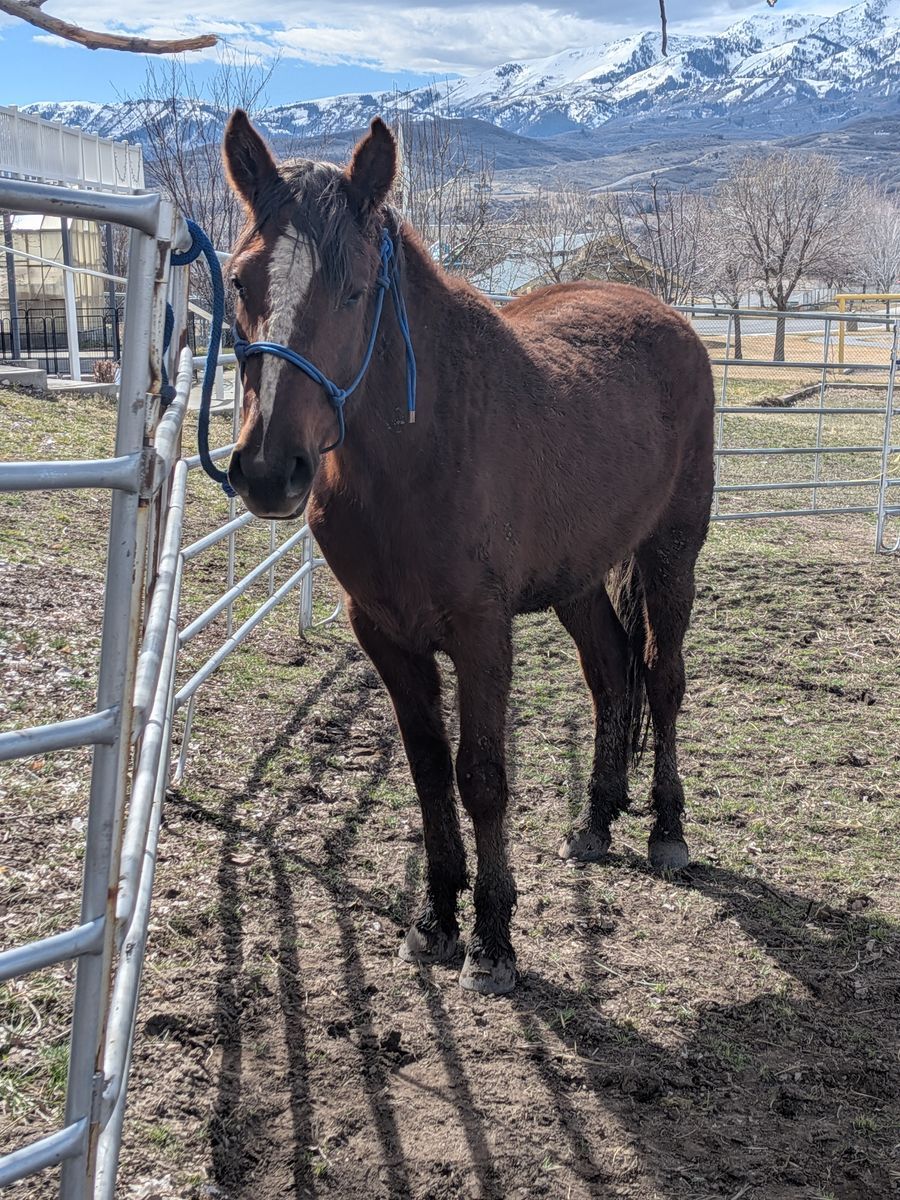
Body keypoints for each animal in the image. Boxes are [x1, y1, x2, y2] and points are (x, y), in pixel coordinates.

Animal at [221, 110, 715, 995]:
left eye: (356, 287)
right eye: (243, 281)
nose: (270, 469)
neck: (424, 449)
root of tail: (668, 318)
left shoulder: (483, 632)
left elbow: (481, 775)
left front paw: (492, 940)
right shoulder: (385, 634)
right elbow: (427, 769)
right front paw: (437, 919)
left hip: (671, 554)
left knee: (661, 677)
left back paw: (666, 829)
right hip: (578, 579)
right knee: (610, 675)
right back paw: (596, 818)